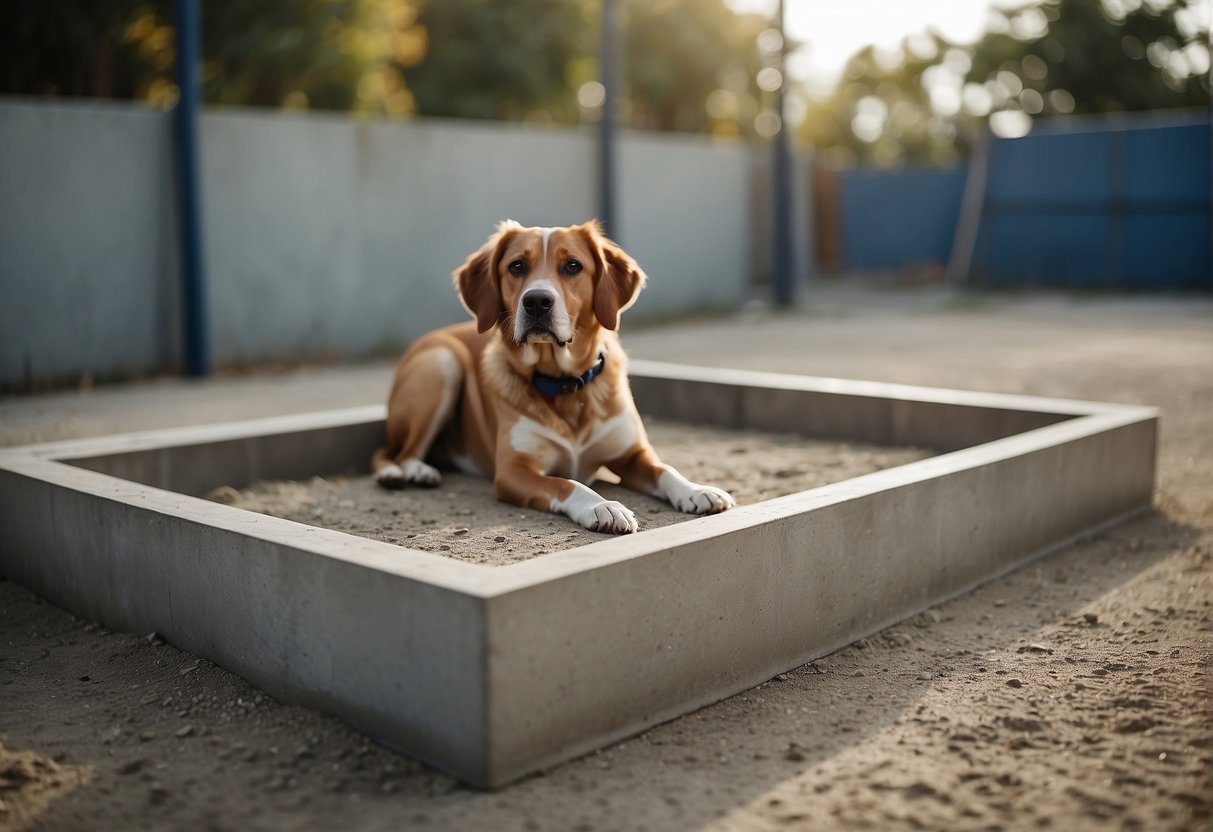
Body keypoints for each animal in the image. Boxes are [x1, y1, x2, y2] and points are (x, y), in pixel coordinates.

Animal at [368, 221, 732, 533]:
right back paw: (409, 471)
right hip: (442, 365)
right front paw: (602, 506)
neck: (566, 384)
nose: (537, 301)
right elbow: (565, 482)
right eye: (517, 266)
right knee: (391, 452)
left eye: (572, 266)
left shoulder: (631, 454)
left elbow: (664, 468)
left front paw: (696, 489)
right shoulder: (513, 471)